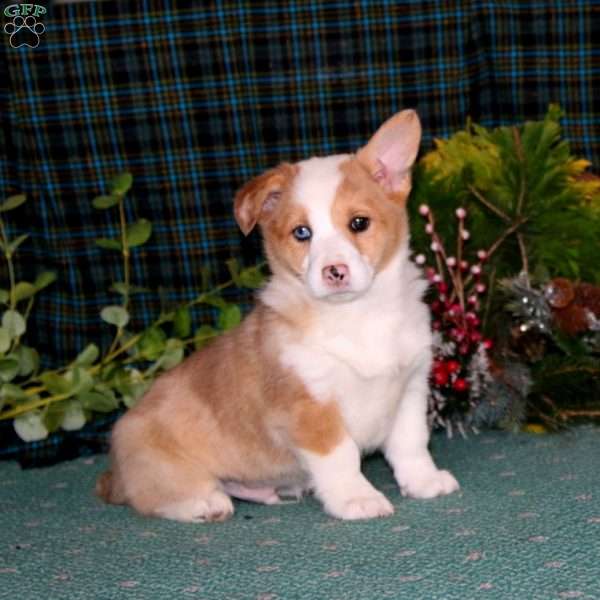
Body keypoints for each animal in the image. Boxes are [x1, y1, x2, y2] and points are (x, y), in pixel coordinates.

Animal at [97, 110, 460, 524]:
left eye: (358, 223)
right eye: (302, 233)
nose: (334, 271)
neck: (356, 316)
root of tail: (113, 474)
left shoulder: (410, 390)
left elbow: (411, 445)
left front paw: (425, 482)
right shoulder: (311, 409)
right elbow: (343, 458)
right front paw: (357, 499)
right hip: (158, 463)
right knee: (155, 495)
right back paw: (205, 503)